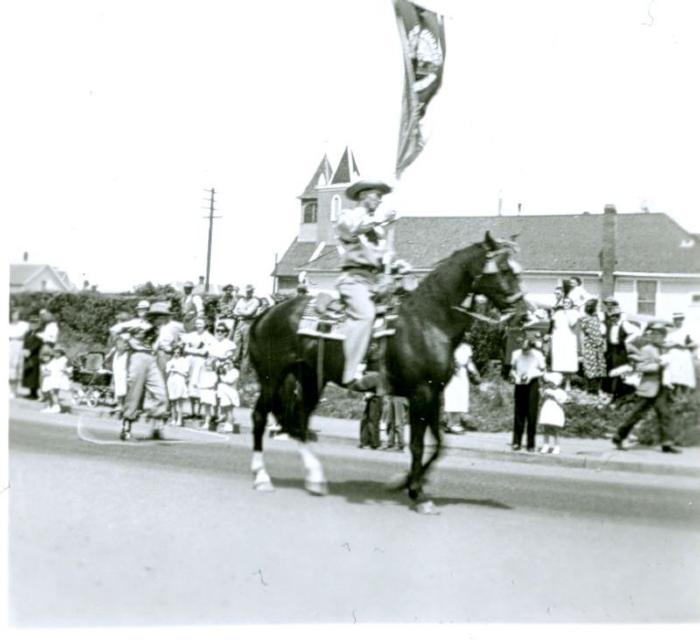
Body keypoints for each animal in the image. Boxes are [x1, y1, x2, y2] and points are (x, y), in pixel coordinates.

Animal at [246, 232, 524, 512]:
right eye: (504, 269)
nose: (523, 312)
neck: (428, 322)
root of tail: (266, 313)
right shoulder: (421, 393)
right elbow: (417, 445)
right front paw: (416, 493)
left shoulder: (434, 394)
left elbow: (439, 445)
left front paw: (404, 483)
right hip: (272, 378)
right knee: (260, 417)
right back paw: (262, 477)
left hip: (311, 379)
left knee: (299, 424)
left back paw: (315, 479)